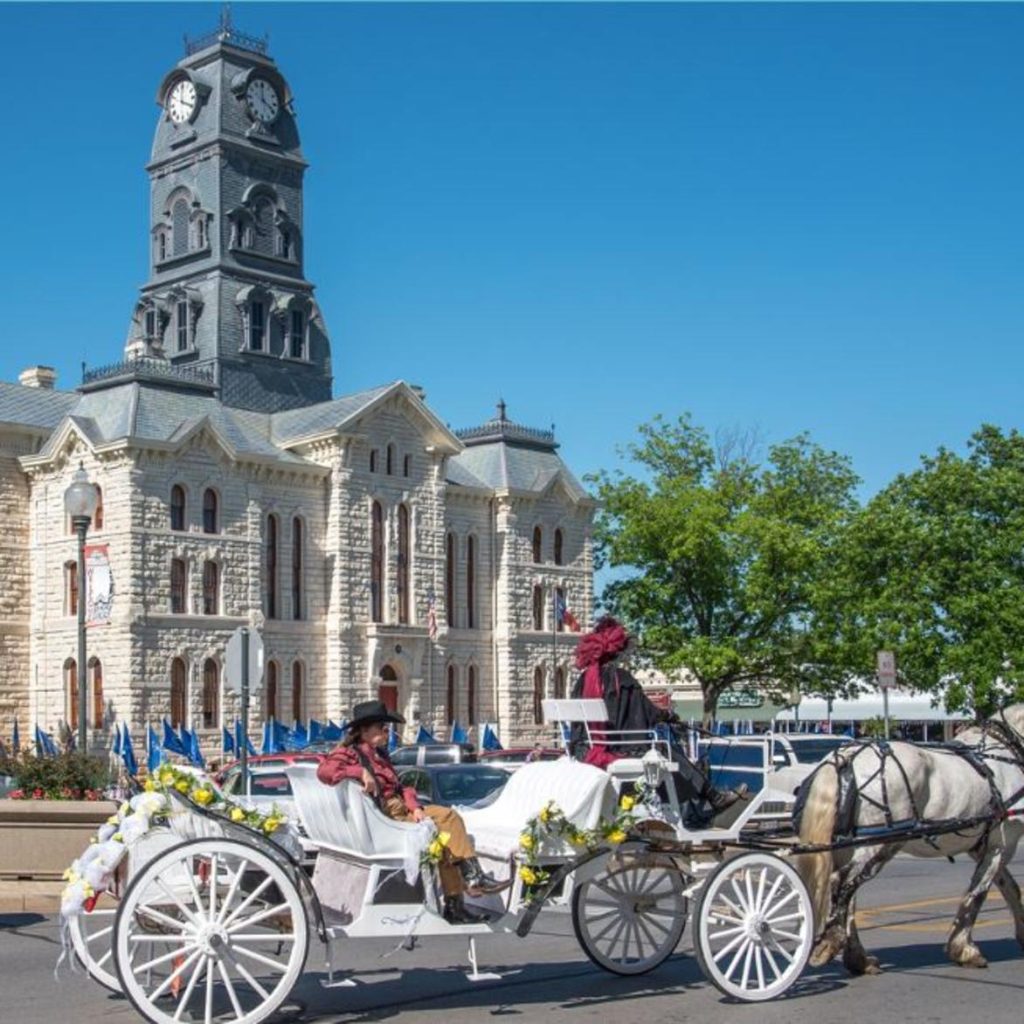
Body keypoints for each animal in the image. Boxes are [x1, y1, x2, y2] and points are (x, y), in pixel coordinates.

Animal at [798, 704, 1024, 974]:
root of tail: (847, 756)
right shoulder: (1001, 844)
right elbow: (978, 893)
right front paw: (964, 950)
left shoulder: (984, 847)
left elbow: (1010, 888)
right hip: (882, 843)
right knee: (841, 883)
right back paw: (831, 943)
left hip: (848, 844)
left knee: (849, 893)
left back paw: (858, 958)